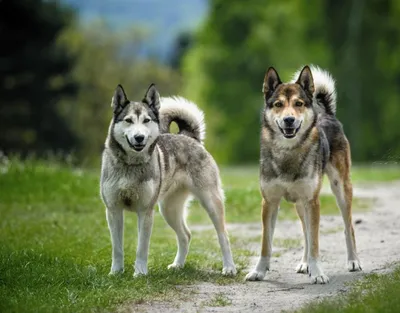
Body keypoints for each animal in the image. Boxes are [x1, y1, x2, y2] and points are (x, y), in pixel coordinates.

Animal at [101, 83, 238, 276]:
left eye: (146, 120)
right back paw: (178, 265)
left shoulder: (145, 211)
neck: (131, 165)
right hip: (169, 209)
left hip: (211, 203)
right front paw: (116, 273)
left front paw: (140, 273)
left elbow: (141, 248)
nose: (139, 137)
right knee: (185, 235)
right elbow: (117, 248)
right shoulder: (113, 210)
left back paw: (229, 267)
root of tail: (188, 136)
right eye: (128, 120)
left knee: (223, 236)